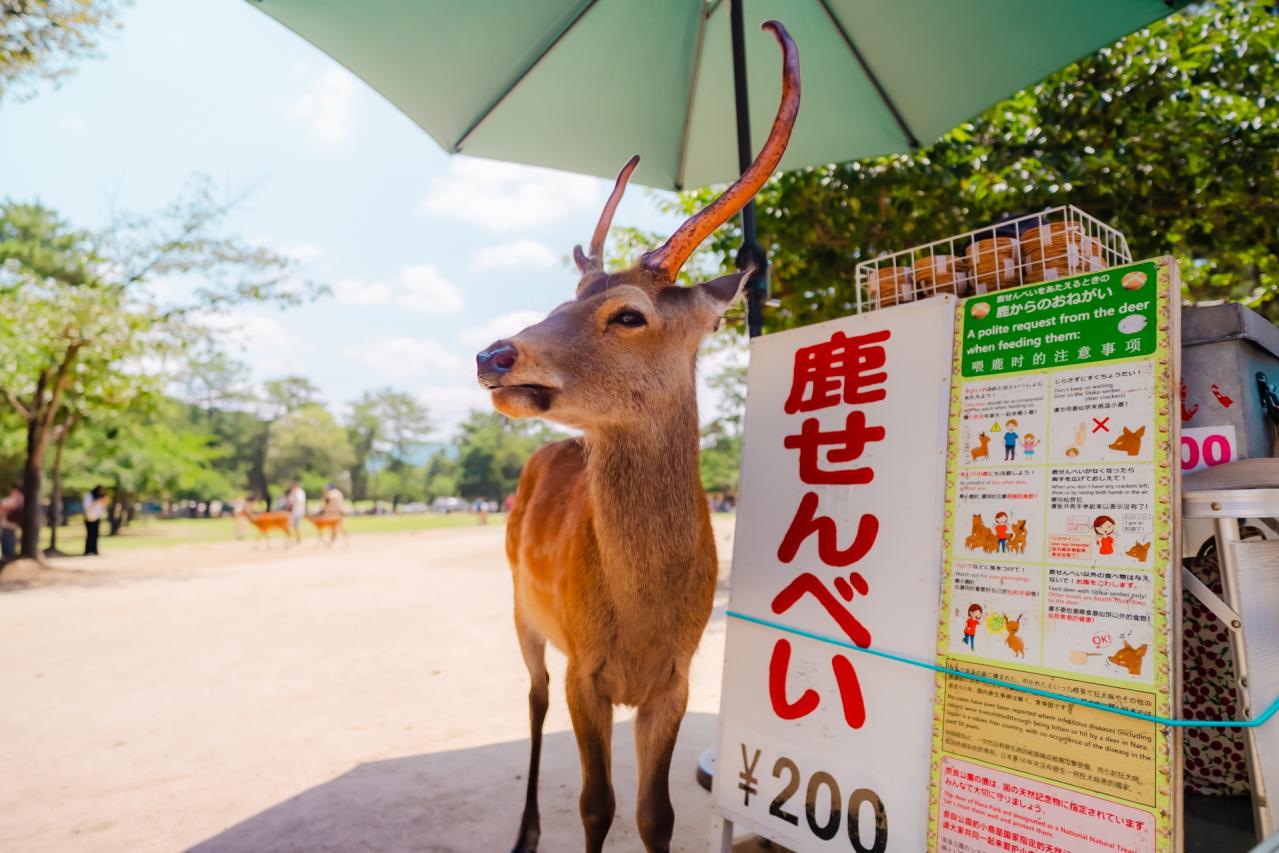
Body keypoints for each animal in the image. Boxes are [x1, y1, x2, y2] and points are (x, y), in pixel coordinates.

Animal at [474, 21, 799, 853]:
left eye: (628, 313)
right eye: (561, 299)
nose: (493, 354)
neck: (643, 621)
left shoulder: (675, 681)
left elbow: (655, 812)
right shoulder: (585, 668)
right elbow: (596, 804)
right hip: (519, 606)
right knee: (532, 697)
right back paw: (523, 831)